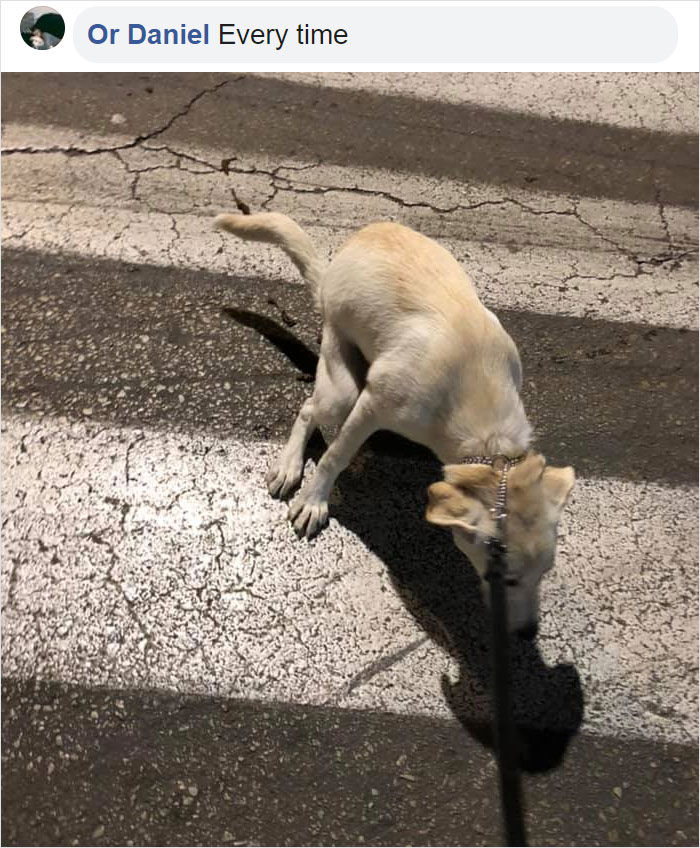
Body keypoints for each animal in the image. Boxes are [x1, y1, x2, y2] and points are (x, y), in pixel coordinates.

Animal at [215, 214, 576, 636]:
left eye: (545, 572)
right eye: (506, 579)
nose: (526, 633)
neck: (490, 439)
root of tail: (331, 274)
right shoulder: (372, 406)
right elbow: (335, 457)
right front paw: (314, 500)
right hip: (340, 384)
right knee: (308, 409)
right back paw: (289, 466)